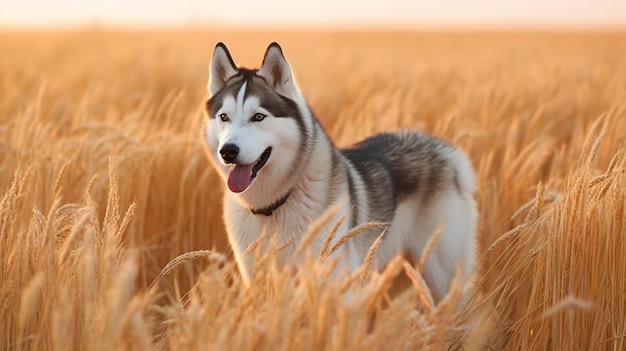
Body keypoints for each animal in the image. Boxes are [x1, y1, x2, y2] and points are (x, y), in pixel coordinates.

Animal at [202, 42, 476, 302]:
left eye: (258, 117)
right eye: (224, 117)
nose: (228, 151)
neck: (273, 207)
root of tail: (444, 151)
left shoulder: (336, 283)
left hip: (443, 274)